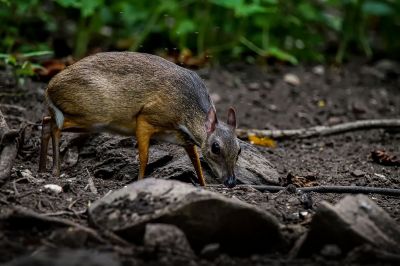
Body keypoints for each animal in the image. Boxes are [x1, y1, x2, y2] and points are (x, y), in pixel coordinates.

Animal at [38, 52, 241, 188]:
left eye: (239, 150)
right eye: (216, 147)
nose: (231, 181)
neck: (184, 111)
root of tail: (49, 87)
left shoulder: (184, 140)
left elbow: (196, 161)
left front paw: (204, 187)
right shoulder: (145, 118)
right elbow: (144, 157)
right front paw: (139, 182)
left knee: (47, 121)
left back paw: (42, 168)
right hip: (95, 115)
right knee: (55, 126)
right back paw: (54, 170)